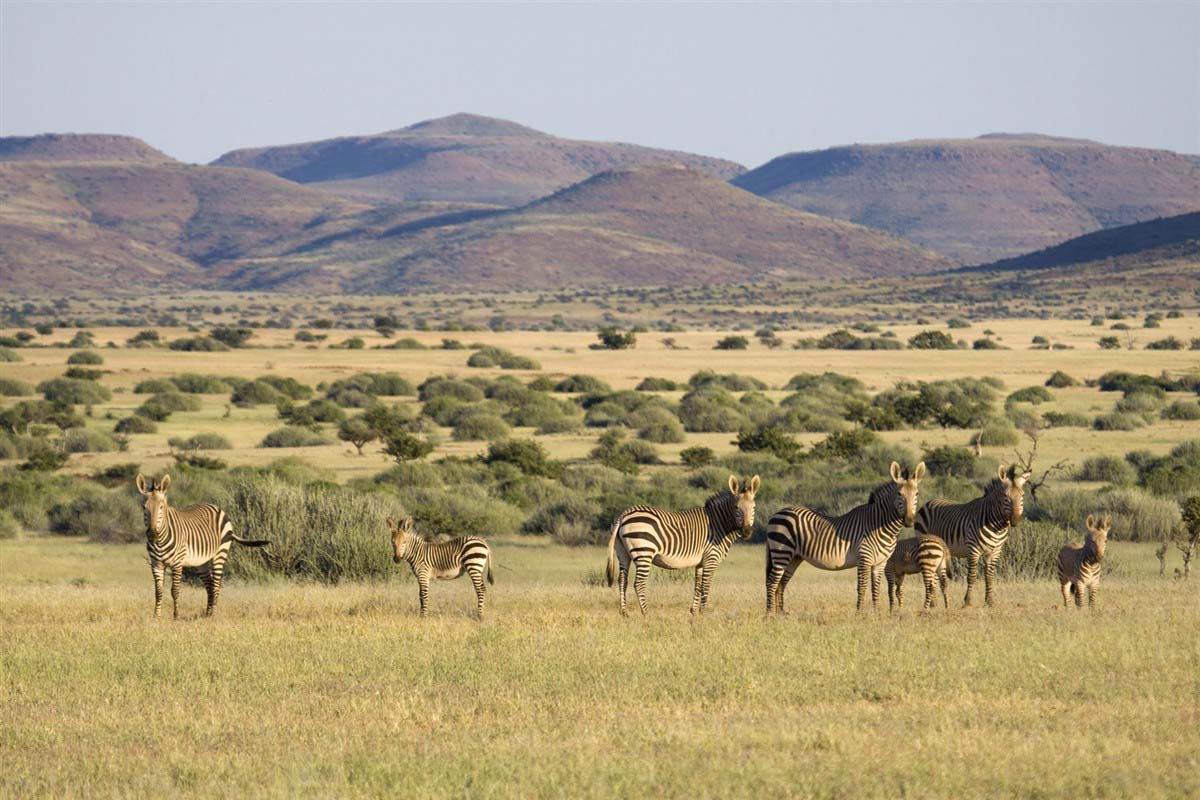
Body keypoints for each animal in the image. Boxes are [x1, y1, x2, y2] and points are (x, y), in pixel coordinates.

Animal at [136, 474, 270, 618]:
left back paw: (213, 613)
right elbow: (158, 591)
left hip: (220, 553)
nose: (152, 534)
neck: (160, 541)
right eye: (144, 507)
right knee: (209, 584)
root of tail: (216, 507)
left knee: (216, 584)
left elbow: (175, 590)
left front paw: (176, 615)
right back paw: (208, 612)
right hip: (201, 562)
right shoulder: (156, 564)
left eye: (162, 507)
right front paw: (156, 616)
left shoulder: (177, 563)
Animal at [604, 474, 763, 618]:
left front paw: (694, 613)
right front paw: (703, 614)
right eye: (736, 507)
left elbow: (697, 586)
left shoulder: (700, 562)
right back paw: (646, 614)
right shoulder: (711, 559)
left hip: (623, 553)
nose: (747, 531)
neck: (719, 524)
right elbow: (705, 587)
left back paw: (624, 614)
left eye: (754, 507)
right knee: (639, 584)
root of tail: (624, 515)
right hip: (644, 552)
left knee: (622, 580)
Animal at [768, 462, 926, 614]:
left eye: (917, 493)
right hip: (782, 552)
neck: (879, 524)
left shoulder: (880, 563)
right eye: (899, 494)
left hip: (794, 557)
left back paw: (781, 613)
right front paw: (859, 614)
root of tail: (779, 511)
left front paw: (876, 613)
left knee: (781, 583)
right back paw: (770, 614)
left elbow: (875, 589)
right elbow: (862, 587)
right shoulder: (864, 559)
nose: (909, 521)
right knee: (772, 582)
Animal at [916, 462, 1032, 606]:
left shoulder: (994, 552)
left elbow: (989, 577)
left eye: (1022, 495)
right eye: (1006, 496)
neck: (997, 527)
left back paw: (934, 604)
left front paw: (990, 601)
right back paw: (933, 603)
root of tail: (928, 502)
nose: (1015, 520)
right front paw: (968, 601)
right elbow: (972, 576)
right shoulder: (973, 550)